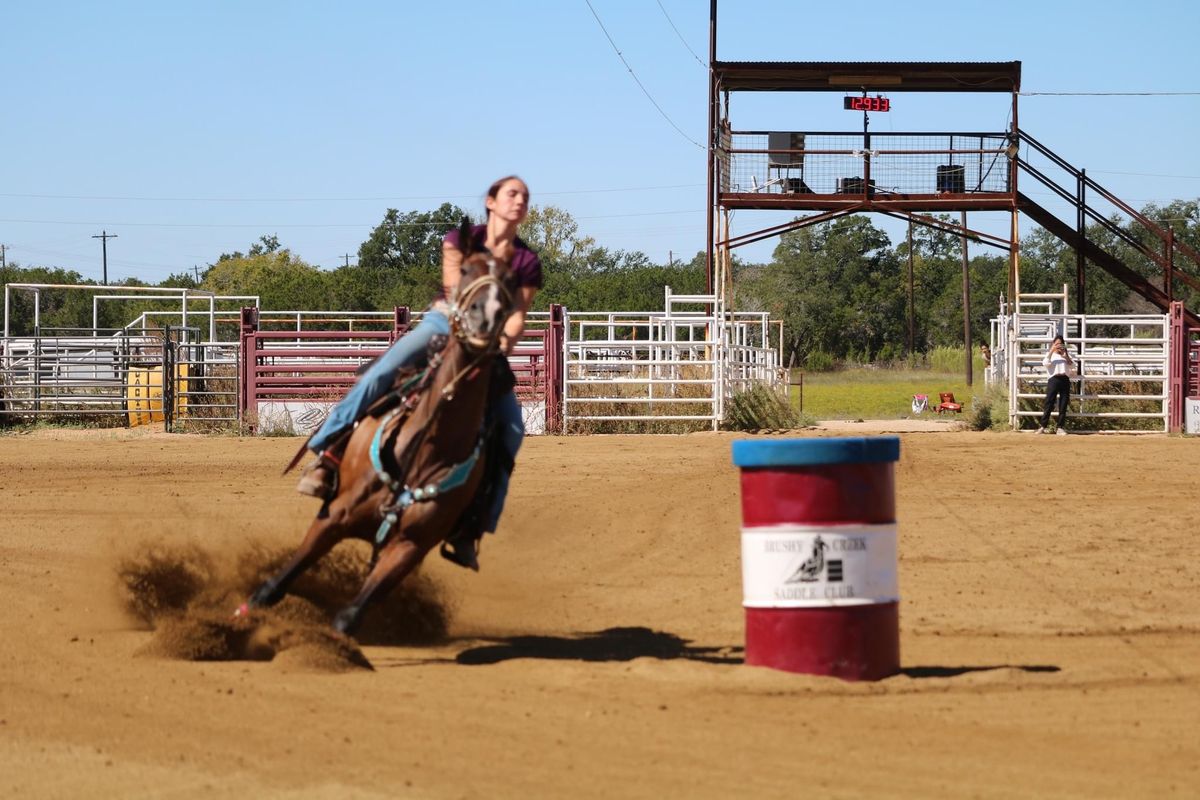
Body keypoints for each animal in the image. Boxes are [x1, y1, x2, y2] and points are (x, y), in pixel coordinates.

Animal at [236, 221, 513, 633]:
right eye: (464, 270)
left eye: (510, 281)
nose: (487, 315)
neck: (426, 448)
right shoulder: (334, 516)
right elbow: (275, 585)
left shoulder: (410, 547)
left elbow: (349, 617)